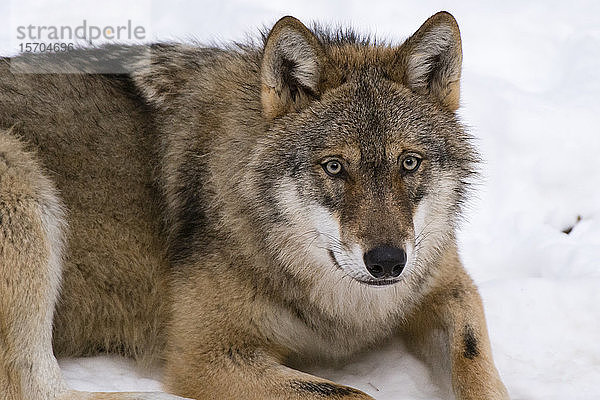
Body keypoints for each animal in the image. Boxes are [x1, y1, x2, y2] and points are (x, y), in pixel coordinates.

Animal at [0, 10, 508, 400]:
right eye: (334, 167)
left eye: (409, 162)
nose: (387, 262)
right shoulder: (206, 353)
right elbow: (350, 393)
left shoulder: (446, 283)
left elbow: (476, 363)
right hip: (27, 193)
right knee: (33, 386)